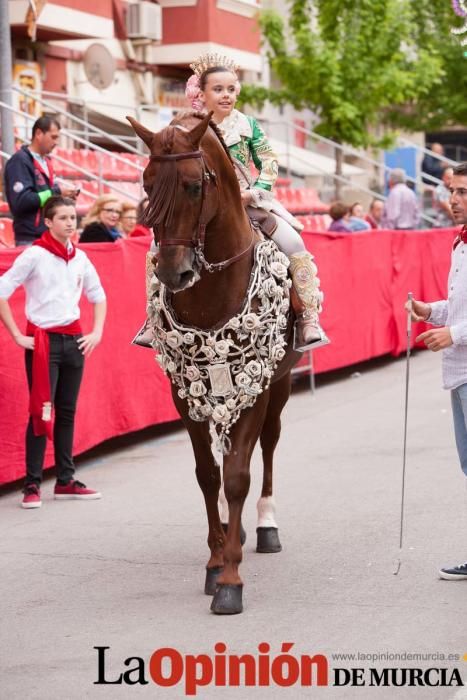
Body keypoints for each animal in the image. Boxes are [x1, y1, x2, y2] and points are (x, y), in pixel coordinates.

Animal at [129, 110, 300, 612]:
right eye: (147, 183)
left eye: (192, 185)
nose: (174, 272)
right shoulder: (183, 392)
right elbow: (208, 475)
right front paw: (215, 560)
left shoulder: (256, 387)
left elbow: (239, 475)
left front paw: (230, 580)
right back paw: (232, 529)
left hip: (279, 387)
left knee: (268, 445)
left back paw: (264, 526)